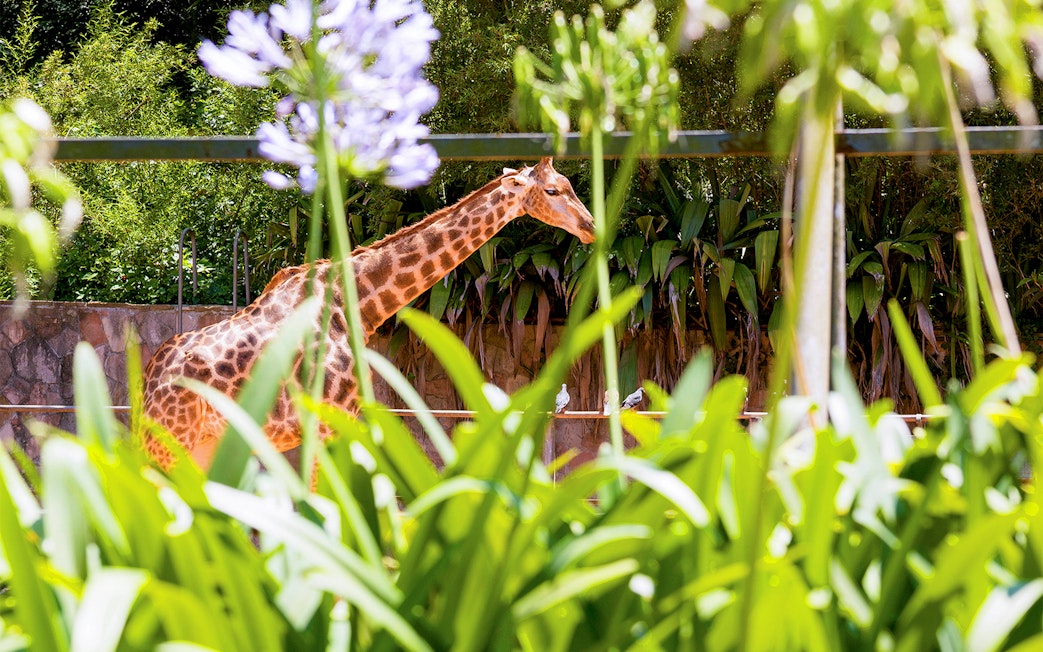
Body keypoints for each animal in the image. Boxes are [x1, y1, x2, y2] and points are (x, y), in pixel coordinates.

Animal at [143, 157, 595, 468]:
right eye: (553, 192)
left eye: (569, 185)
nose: (590, 226)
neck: (353, 304)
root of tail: (148, 378)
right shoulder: (330, 423)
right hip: (168, 441)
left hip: (202, 444)